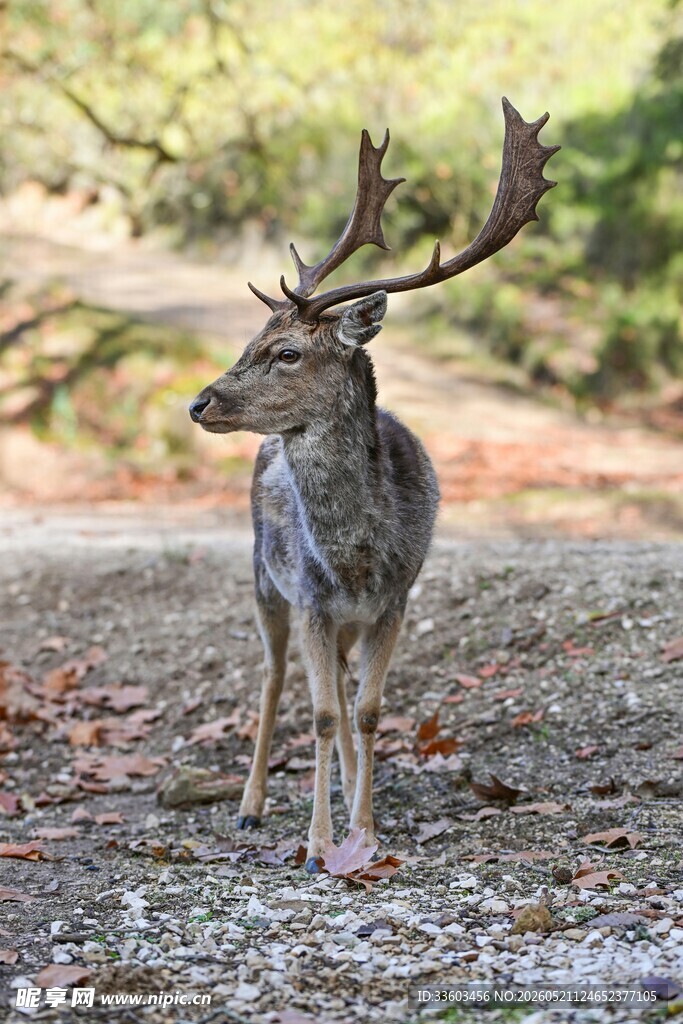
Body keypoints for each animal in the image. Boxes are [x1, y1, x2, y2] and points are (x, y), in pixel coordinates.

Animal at [189, 98, 559, 872]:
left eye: (286, 352)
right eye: (248, 342)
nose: (199, 403)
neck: (358, 558)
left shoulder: (396, 597)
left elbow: (364, 710)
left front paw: (365, 833)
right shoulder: (311, 598)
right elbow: (323, 712)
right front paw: (317, 844)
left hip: (338, 618)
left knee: (339, 690)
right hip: (264, 580)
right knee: (273, 679)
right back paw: (251, 805)